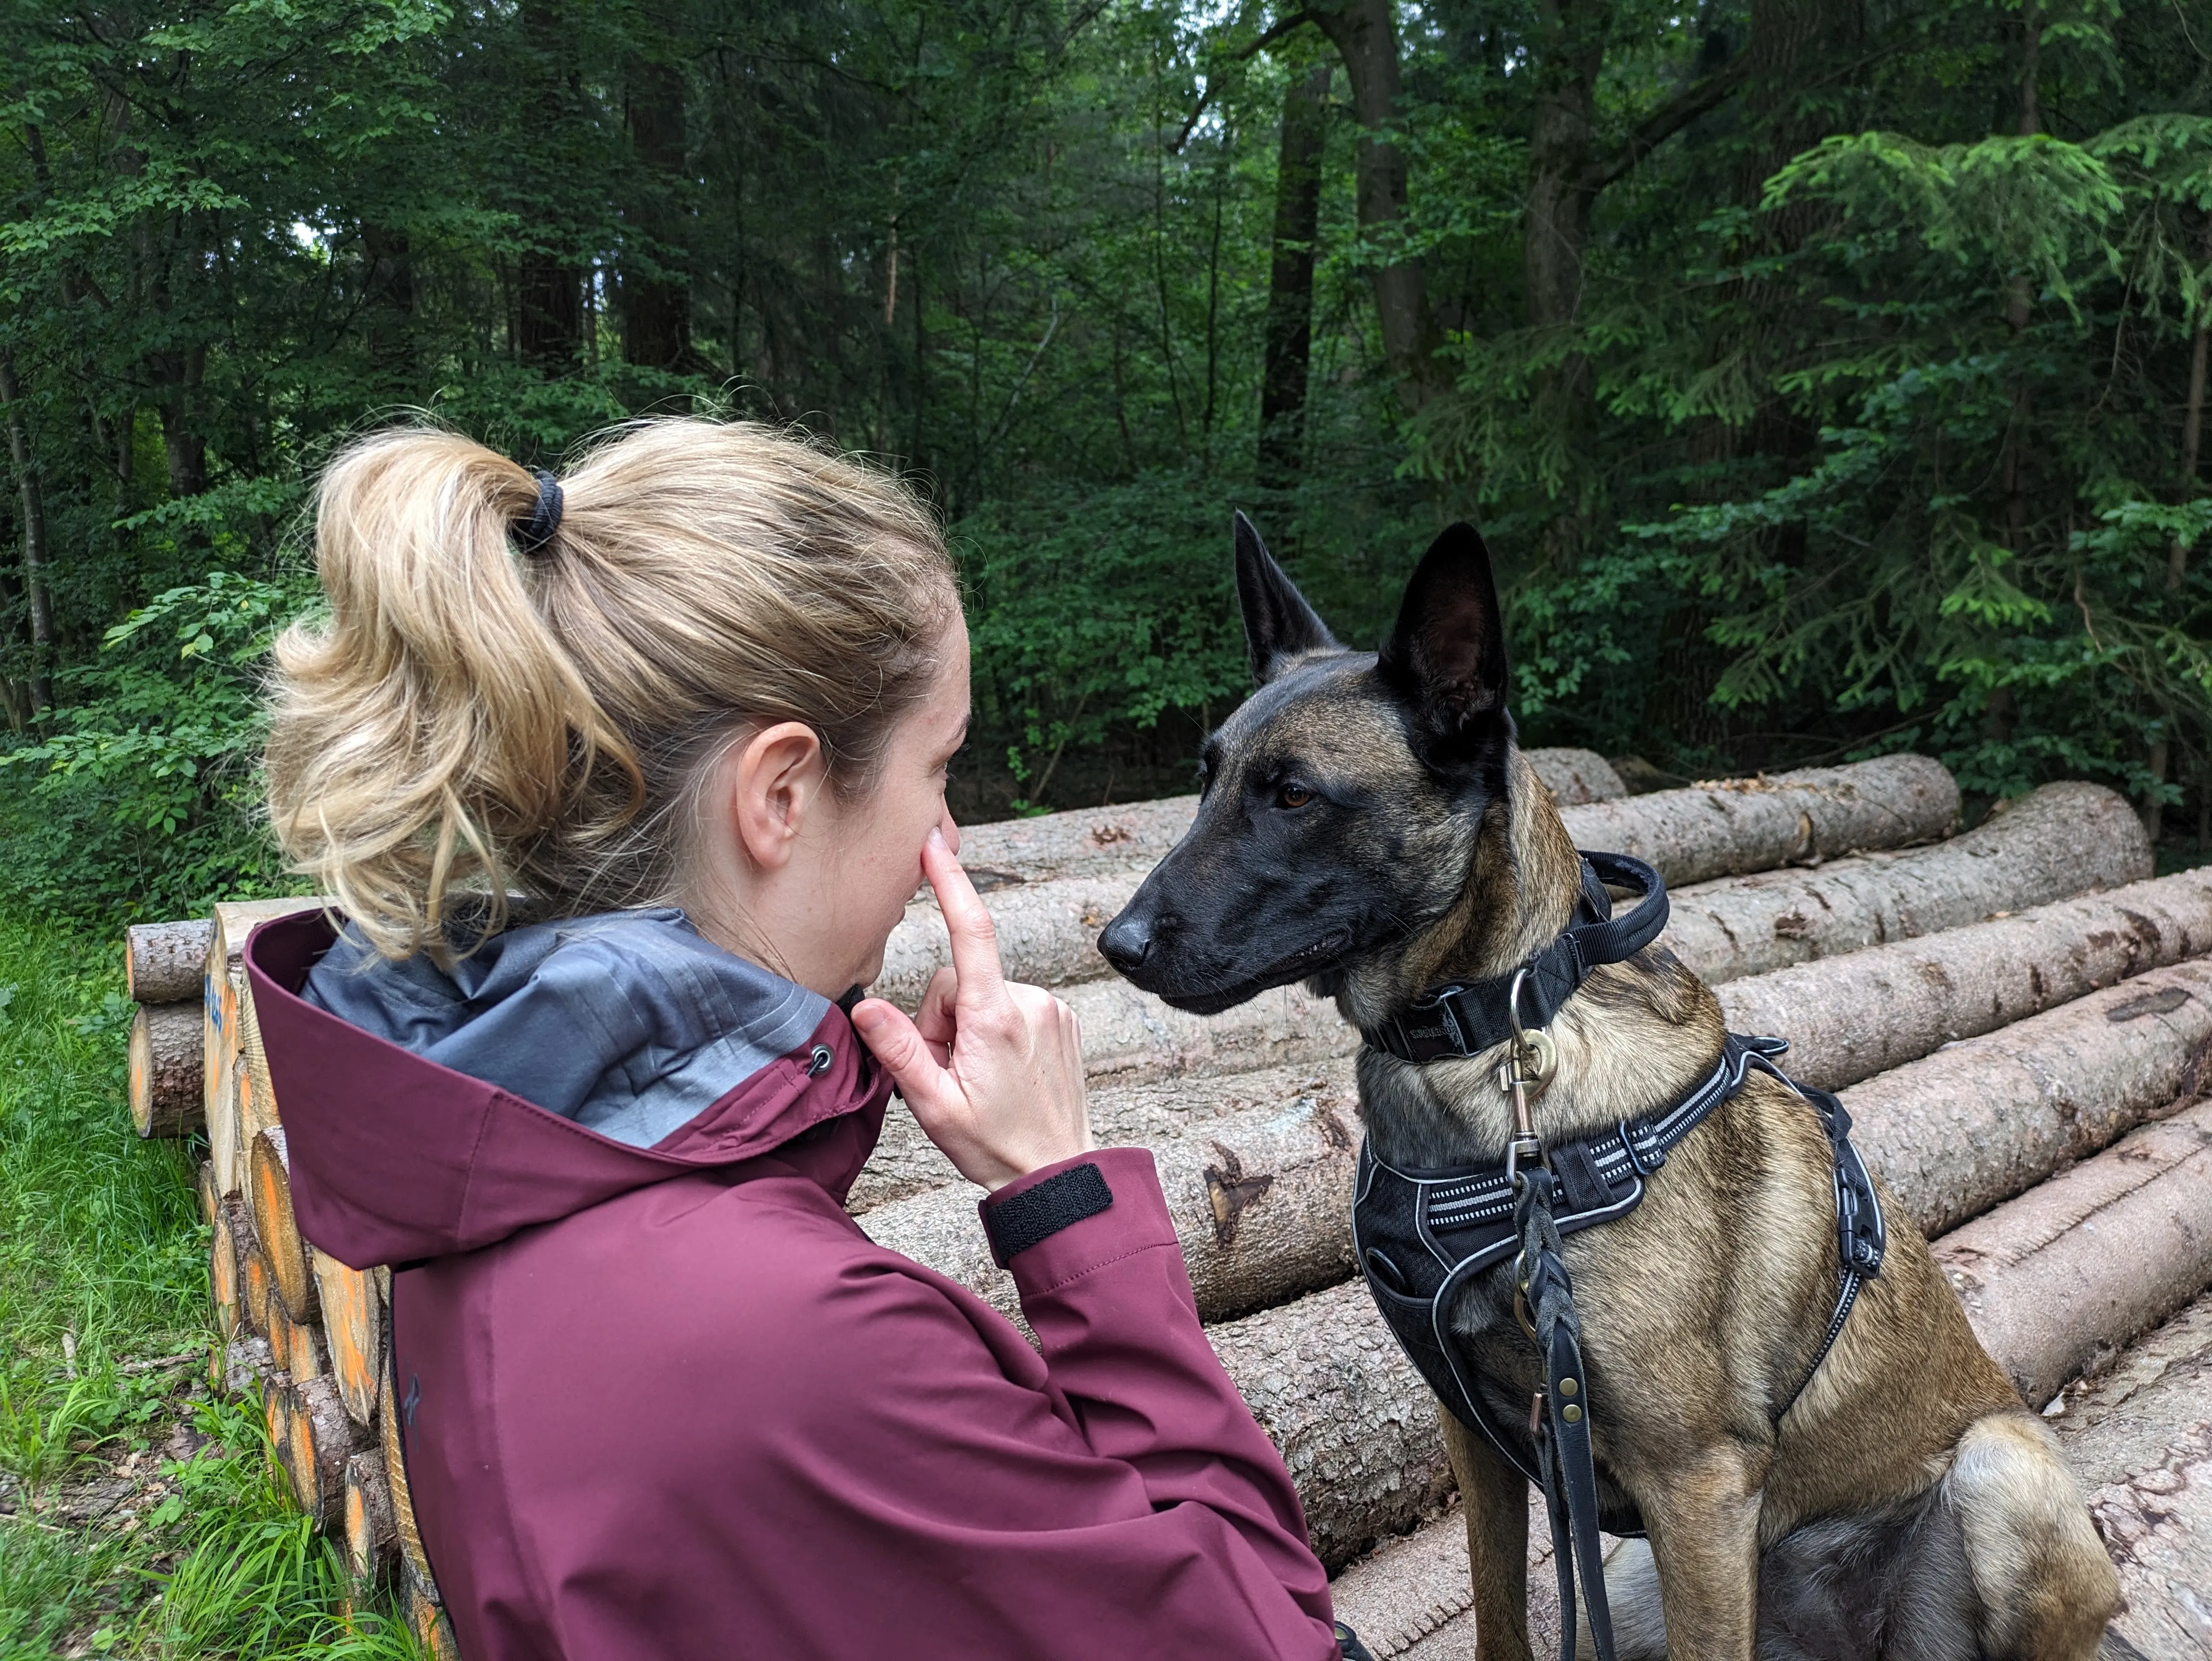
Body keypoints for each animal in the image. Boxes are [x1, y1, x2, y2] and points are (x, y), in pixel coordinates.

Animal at [1097, 513, 2114, 1654]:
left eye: (1292, 795)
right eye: (1206, 779)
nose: (1117, 945)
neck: (1483, 1044)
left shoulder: (1697, 1484)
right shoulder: (1484, 1444)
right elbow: (1500, 1618)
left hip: (1995, 1470)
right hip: (1630, 1579)